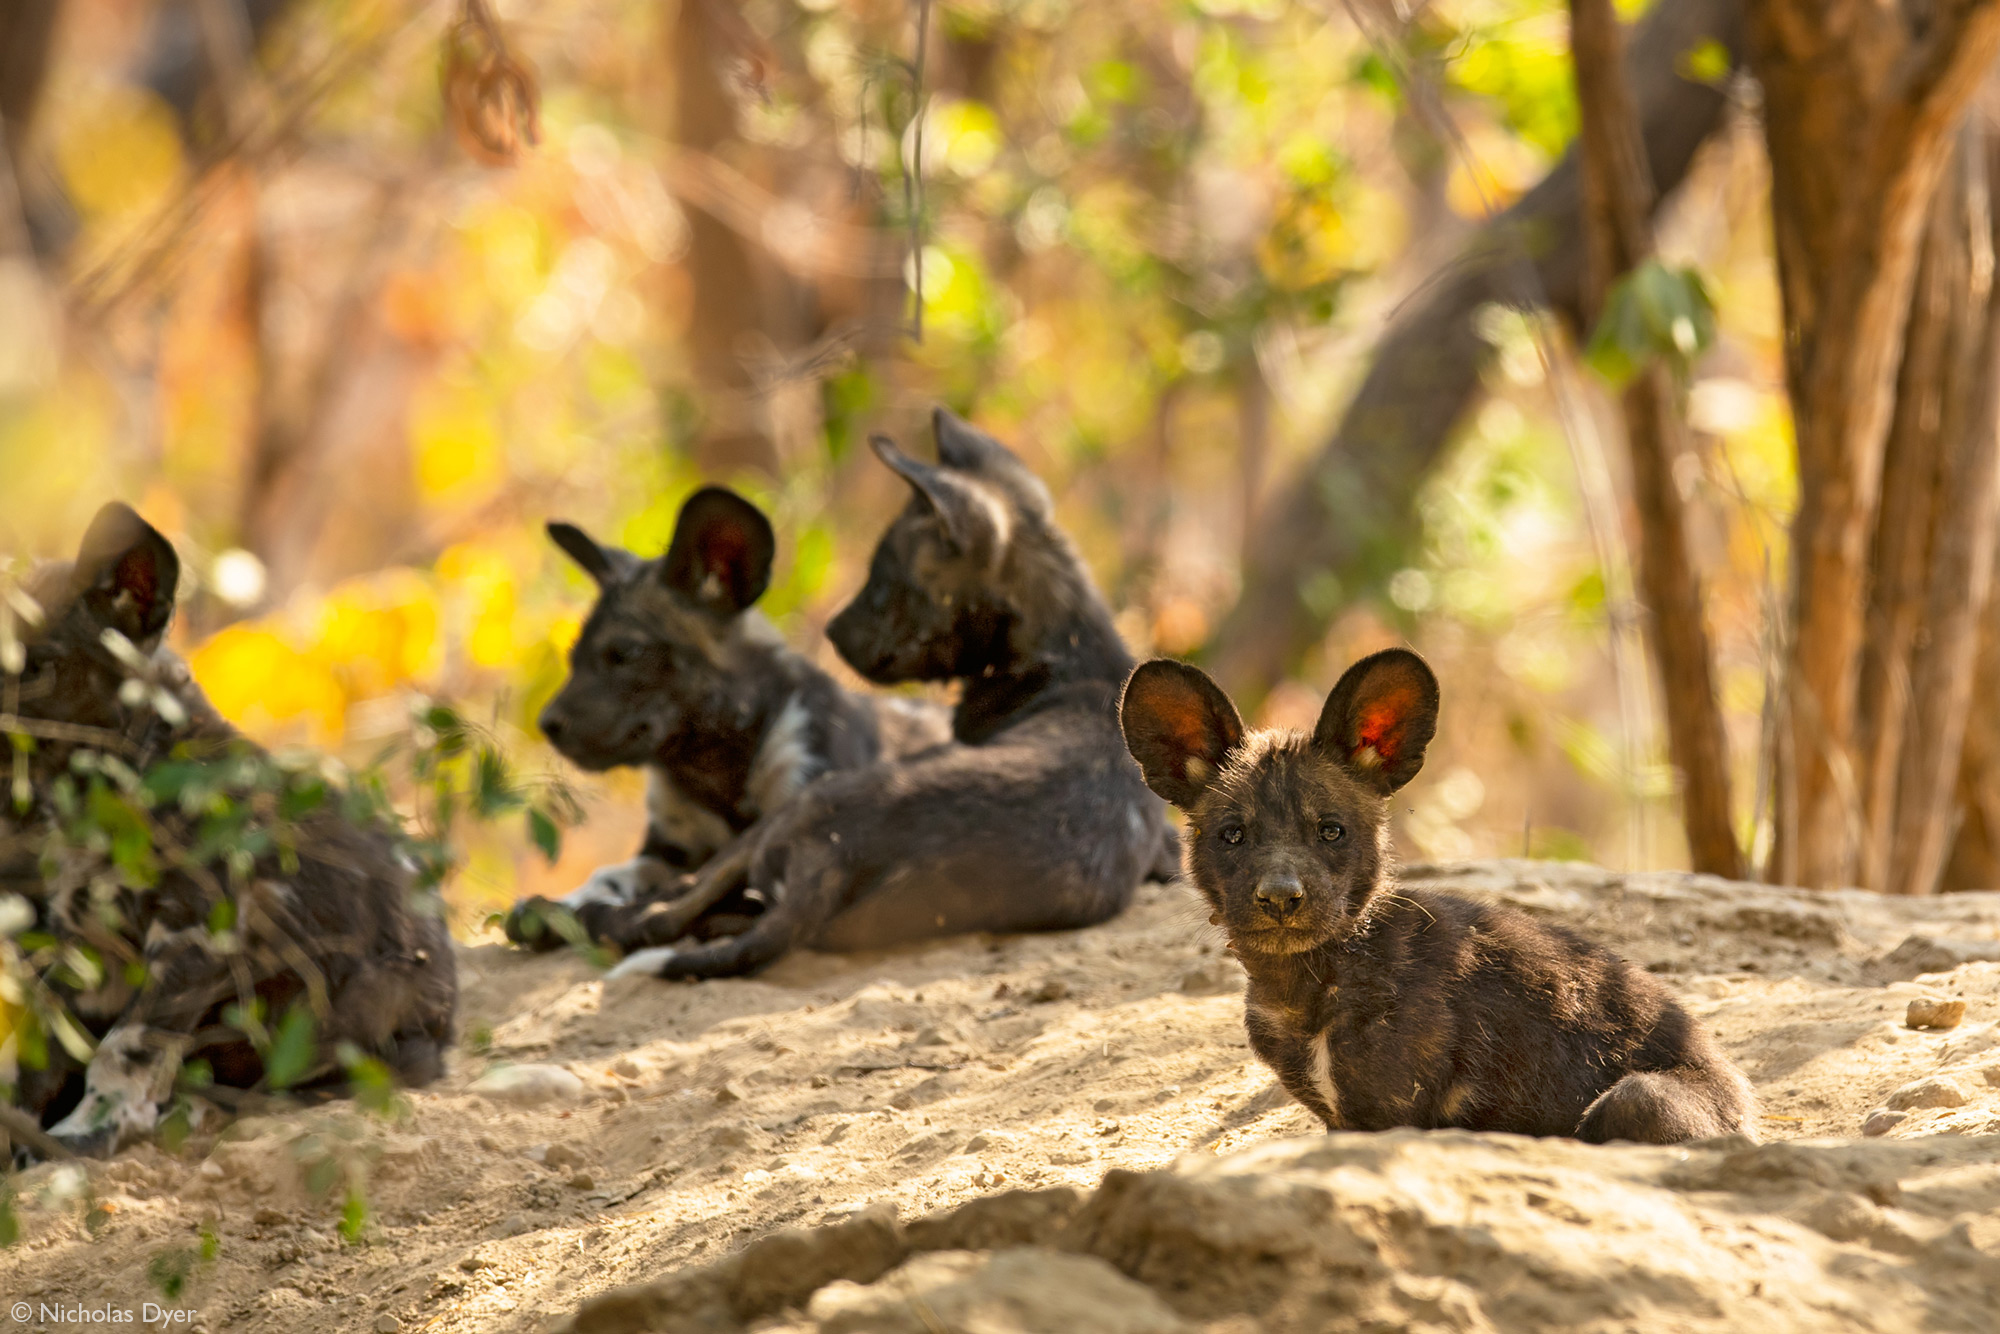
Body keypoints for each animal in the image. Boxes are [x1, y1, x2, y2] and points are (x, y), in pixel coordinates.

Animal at [0, 506, 458, 1152]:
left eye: (36, 667)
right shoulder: (65, 945)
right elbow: (38, 1058)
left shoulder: (193, 935)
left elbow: (125, 1049)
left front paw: (93, 1128)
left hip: (364, 1001)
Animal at [512, 486, 956, 956]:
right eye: (573, 659)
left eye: (625, 653)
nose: (547, 724)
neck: (712, 770)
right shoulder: (668, 850)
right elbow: (613, 874)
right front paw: (563, 904)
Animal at [600, 408, 1176, 980]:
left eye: (881, 583)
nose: (831, 631)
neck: (1067, 653)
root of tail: (836, 855)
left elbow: (690, 880)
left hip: (806, 802)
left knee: (673, 910)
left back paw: (619, 920)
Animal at [1120, 652, 1760, 1144]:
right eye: (1233, 835)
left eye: (1331, 831)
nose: (1281, 897)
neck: (1308, 986)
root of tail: (1744, 1108)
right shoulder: (1340, 1120)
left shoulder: (1386, 1117)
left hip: (1637, 1098)